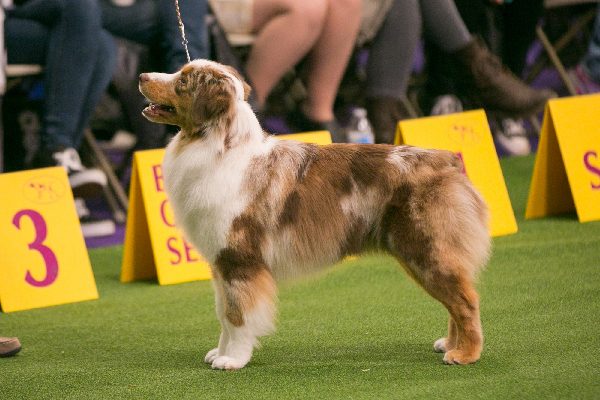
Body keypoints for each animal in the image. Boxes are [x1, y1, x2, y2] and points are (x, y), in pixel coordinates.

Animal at [138, 58, 490, 368]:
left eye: (182, 82)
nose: (142, 76)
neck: (220, 148)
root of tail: (447, 161)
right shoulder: (220, 262)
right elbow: (223, 314)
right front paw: (220, 353)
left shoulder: (239, 259)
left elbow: (237, 316)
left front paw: (233, 360)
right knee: (455, 300)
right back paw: (450, 344)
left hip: (424, 249)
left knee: (466, 300)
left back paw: (464, 354)